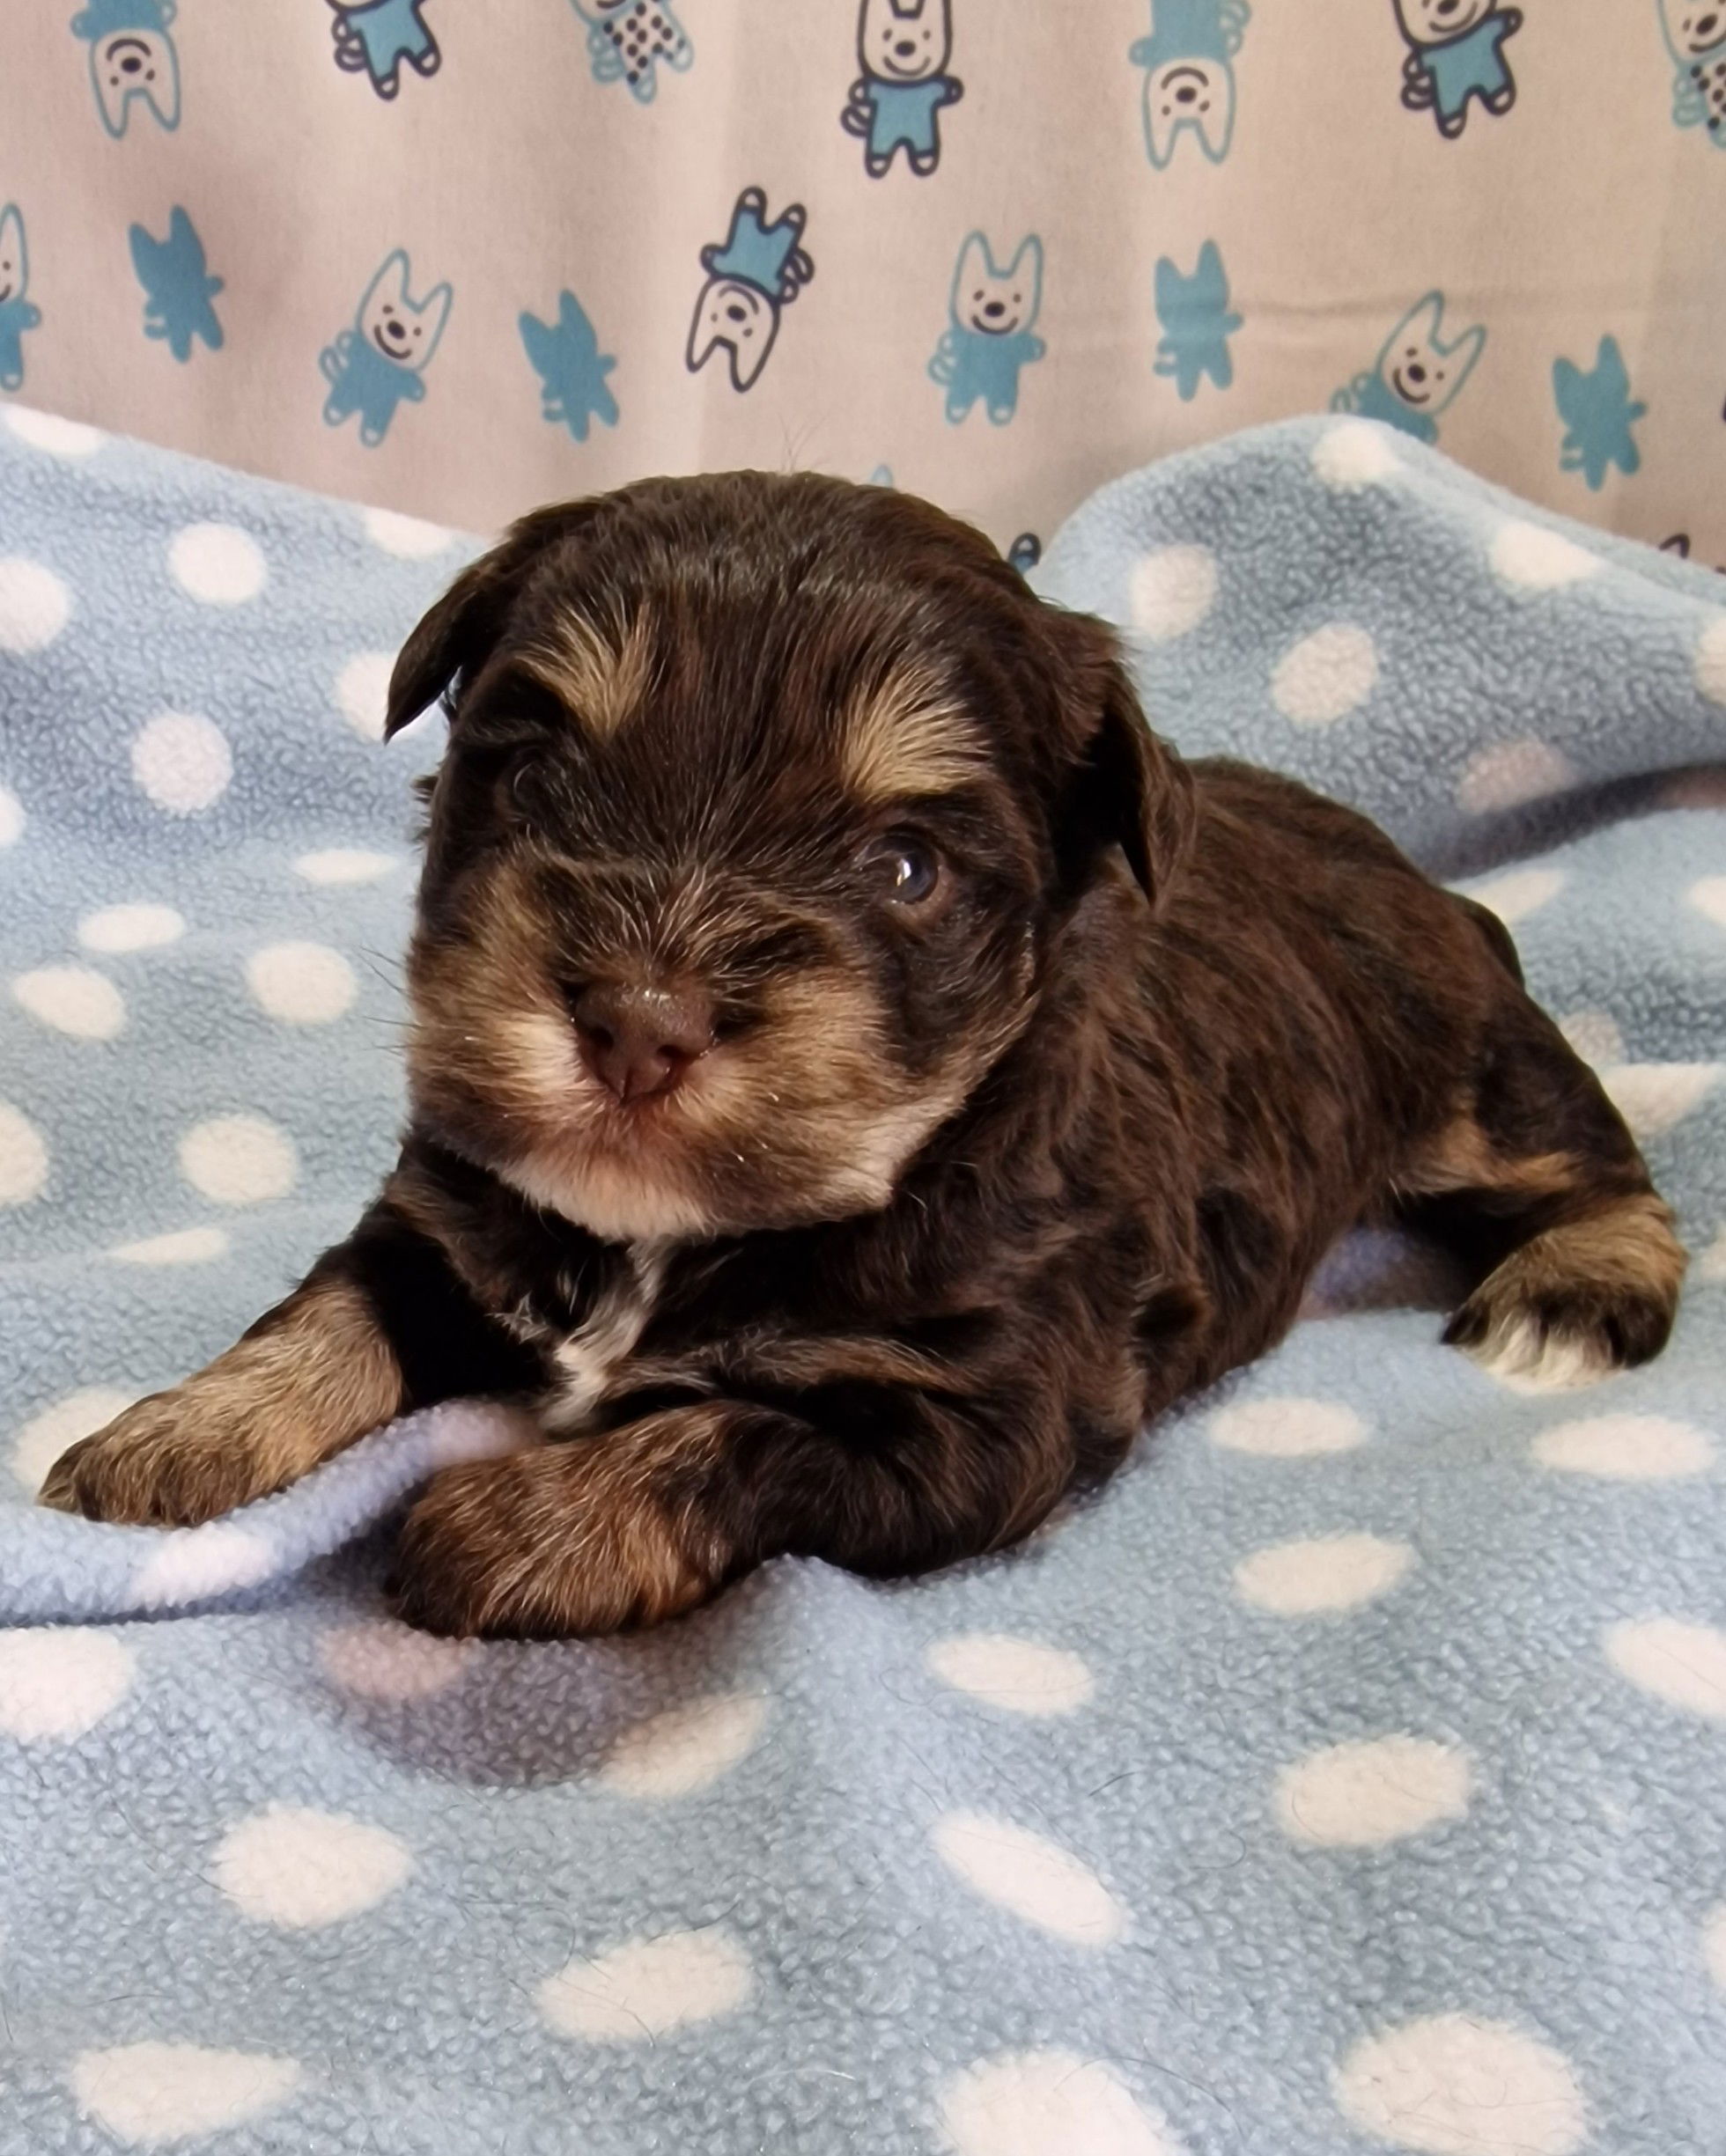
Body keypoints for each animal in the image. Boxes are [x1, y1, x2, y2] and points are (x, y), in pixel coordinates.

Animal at [41, 475, 1687, 1638]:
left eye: (905, 868)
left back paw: (1571, 1291)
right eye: (537, 777)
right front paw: (170, 1435)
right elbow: (328, 1311)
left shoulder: (974, 1422)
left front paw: (513, 1529)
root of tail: (1396, 856)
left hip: (1467, 1064)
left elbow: (723, 1433)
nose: (638, 1019)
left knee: (1589, 1150)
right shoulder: (451, 1219)